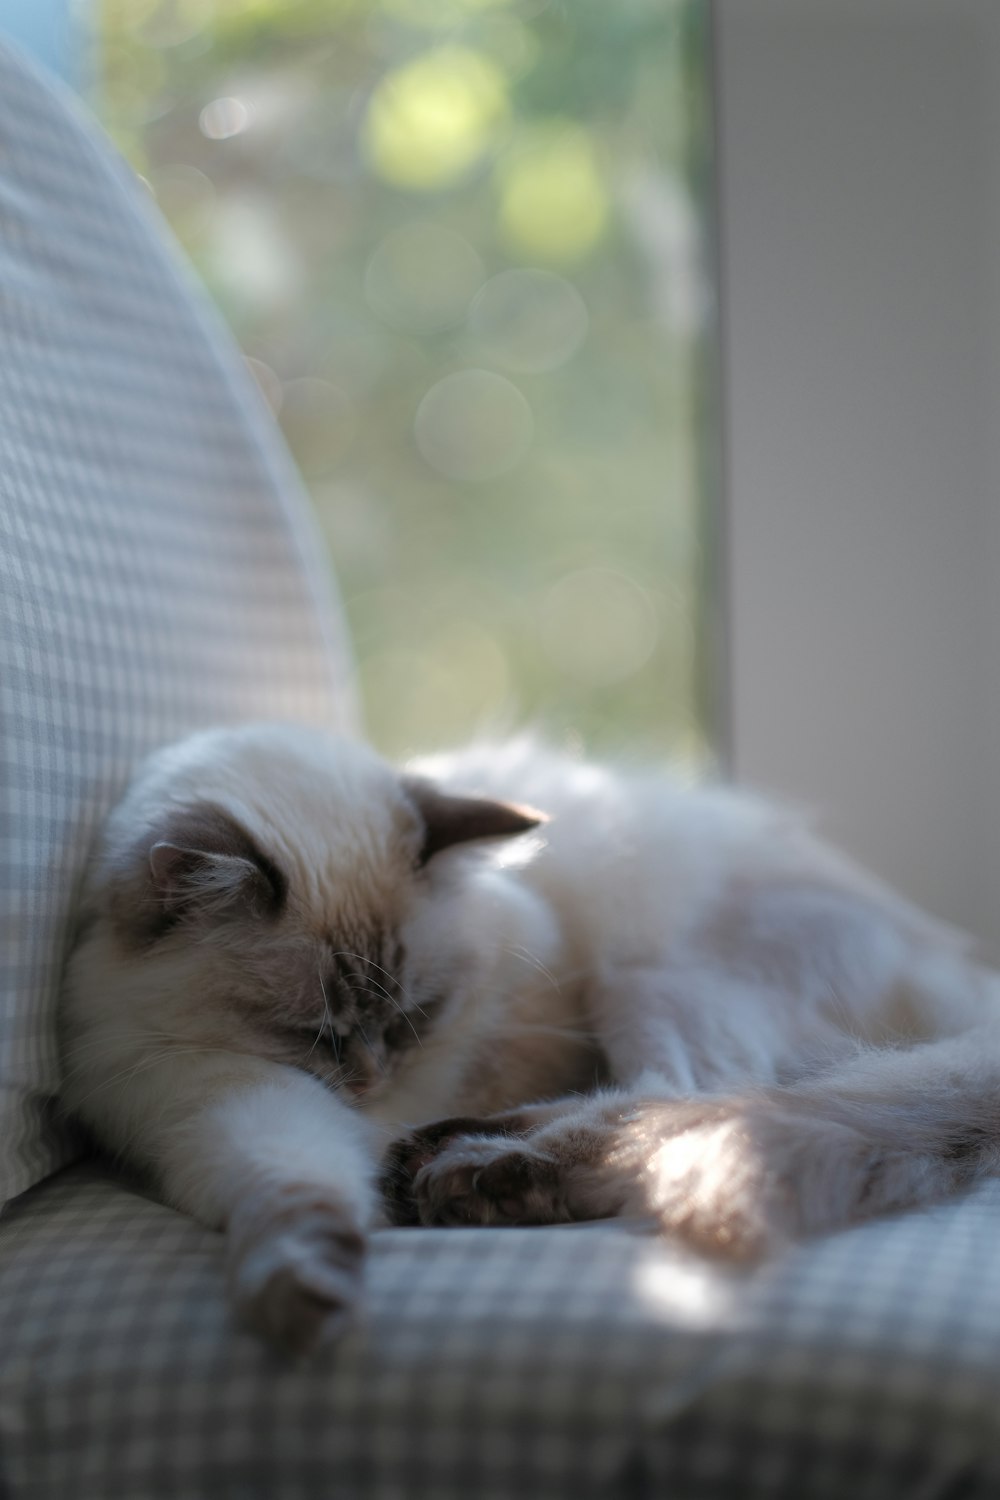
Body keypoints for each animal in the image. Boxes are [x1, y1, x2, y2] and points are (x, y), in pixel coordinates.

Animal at [58, 723, 1000, 1350]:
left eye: (413, 1017)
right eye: (310, 1034)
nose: (369, 1083)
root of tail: (966, 975)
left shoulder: (527, 1027)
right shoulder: (226, 1109)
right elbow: (294, 1190)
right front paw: (300, 1289)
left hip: (645, 976)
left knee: (691, 1101)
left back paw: (476, 1174)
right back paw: (449, 1166)